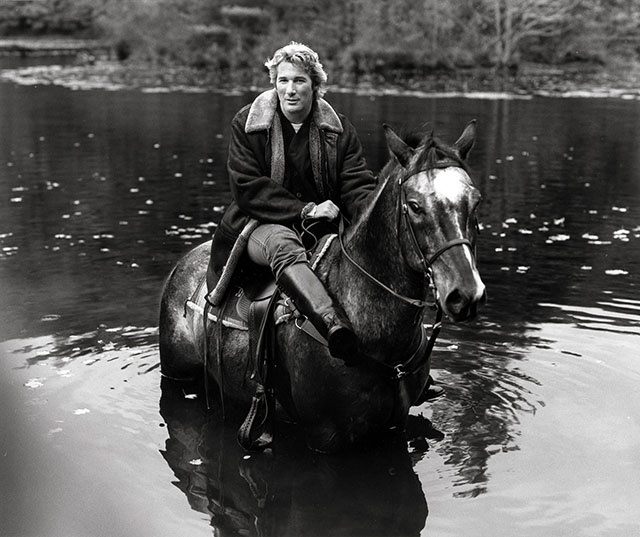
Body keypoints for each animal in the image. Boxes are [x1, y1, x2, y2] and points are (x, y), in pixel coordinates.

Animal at [160, 120, 484, 452]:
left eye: (475, 201)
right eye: (416, 206)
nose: (465, 294)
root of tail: (185, 262)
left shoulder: (395, 426)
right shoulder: (326, 438)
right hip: (176, 375)